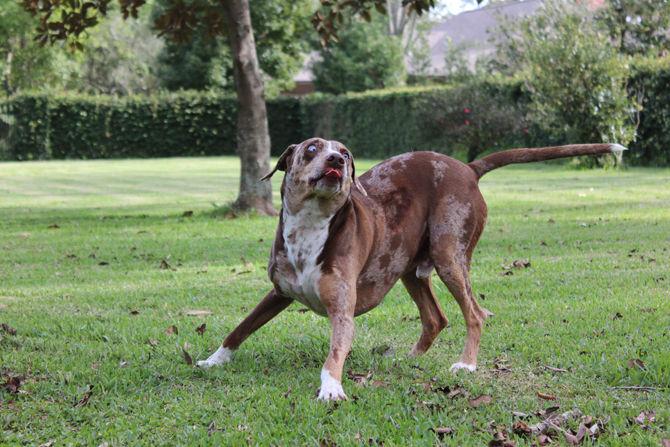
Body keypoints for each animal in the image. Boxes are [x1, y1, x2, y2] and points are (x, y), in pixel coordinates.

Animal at [197, 137, 628, 402]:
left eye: (346, 152)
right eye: (312, 148)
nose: (337, 160)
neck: (312, 225)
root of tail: (468, 167)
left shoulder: (342, 311)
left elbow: (334, 353)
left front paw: (331, 387)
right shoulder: (278, 293)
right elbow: (241, 328)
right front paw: (213, 361)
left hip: (449, 256)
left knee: (474, 313)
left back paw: (467, 363)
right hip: (408, 268)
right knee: (436, 318)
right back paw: (407, 359)